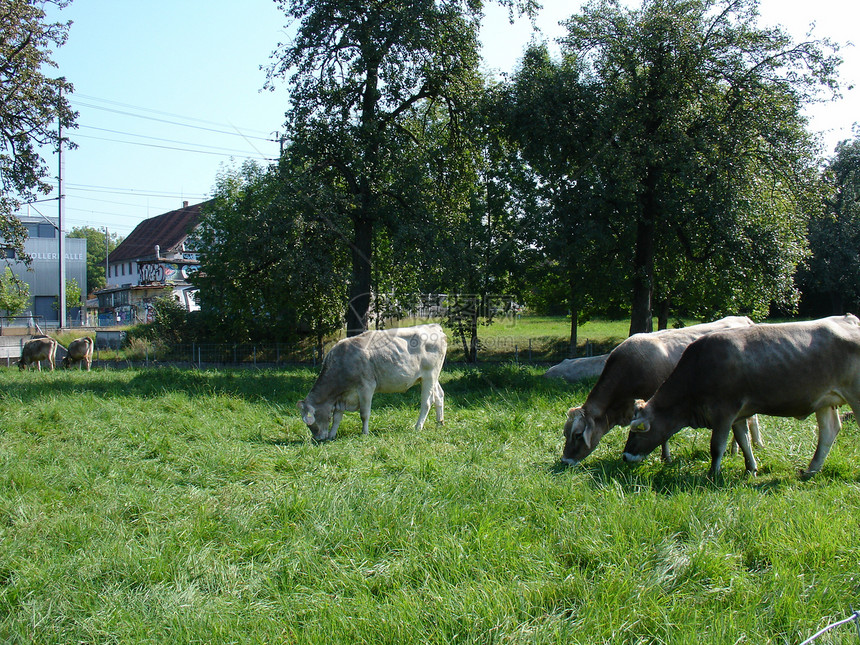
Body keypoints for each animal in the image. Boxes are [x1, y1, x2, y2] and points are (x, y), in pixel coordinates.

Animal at [298, 324, 446, 440]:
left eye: (310, 422)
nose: (317, 438)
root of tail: (434, 327)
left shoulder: (366, 387)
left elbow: (364, 414)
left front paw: (365, 433)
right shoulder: (342, 397)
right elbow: (337, 417)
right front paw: (332, 435)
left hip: (429, 376)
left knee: (427, 402)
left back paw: (418, 426)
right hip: (432, 377)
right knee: (439, 395)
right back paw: (440, 422)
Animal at [560, 316, 764, 462]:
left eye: (577, 435)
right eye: (565, 433)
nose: (565, 461)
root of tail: (745, 319)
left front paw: (666, 458)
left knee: (751, 419)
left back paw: (746, 446)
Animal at [624, 314, 860, 476]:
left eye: (636, 432)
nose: (625, 456)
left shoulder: (724, 412)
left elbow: (717, 446)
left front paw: (713, 474)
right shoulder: (738, 415)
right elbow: (743, 440)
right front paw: (750, 468)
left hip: (855, 396)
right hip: (825, 401)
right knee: (829, 431)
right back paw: (811, 470)